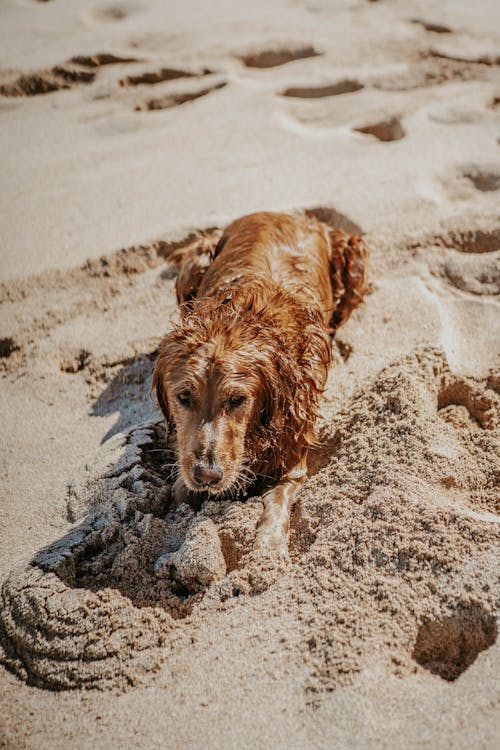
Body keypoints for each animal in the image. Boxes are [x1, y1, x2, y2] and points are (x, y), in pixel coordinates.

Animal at [152, 212, 368, 560]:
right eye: (183, 396)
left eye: (237, 399)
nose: (208, 475)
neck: (240, 318)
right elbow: (180, 491)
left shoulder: (291, 456)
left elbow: (276, 503)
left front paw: (268, 550)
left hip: (354, 260)